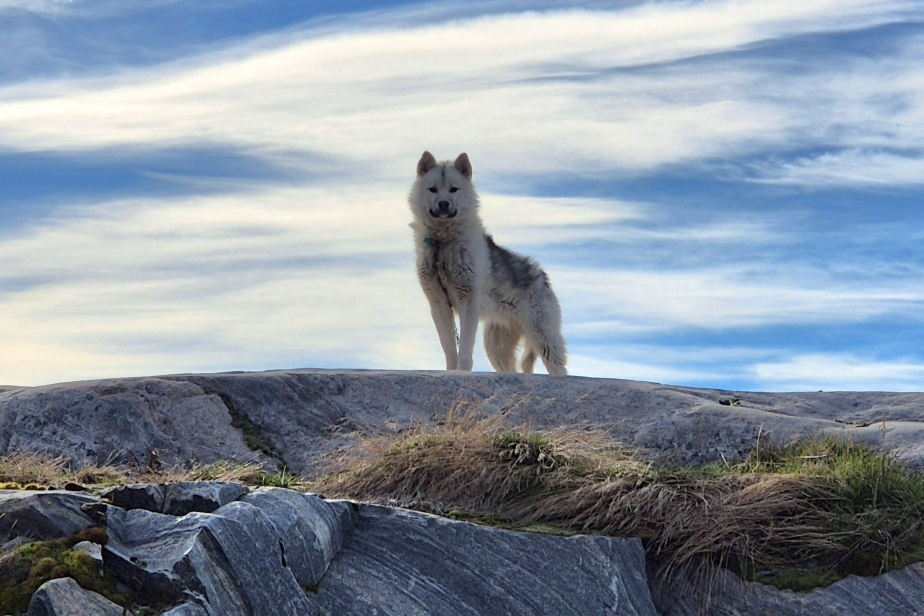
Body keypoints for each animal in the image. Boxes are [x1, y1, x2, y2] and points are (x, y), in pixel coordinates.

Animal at [410, 152, 568, 378]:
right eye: (432, 189)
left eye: (454, 189)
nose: (443, 204)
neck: (443, 243)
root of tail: (541, 276)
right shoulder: (438, 305)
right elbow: (449, 347)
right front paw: (451, 372)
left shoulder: (468, 303)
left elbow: (465, 347)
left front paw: (462, 372)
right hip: (496, 348)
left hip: (543, 337)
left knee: (558, 367)